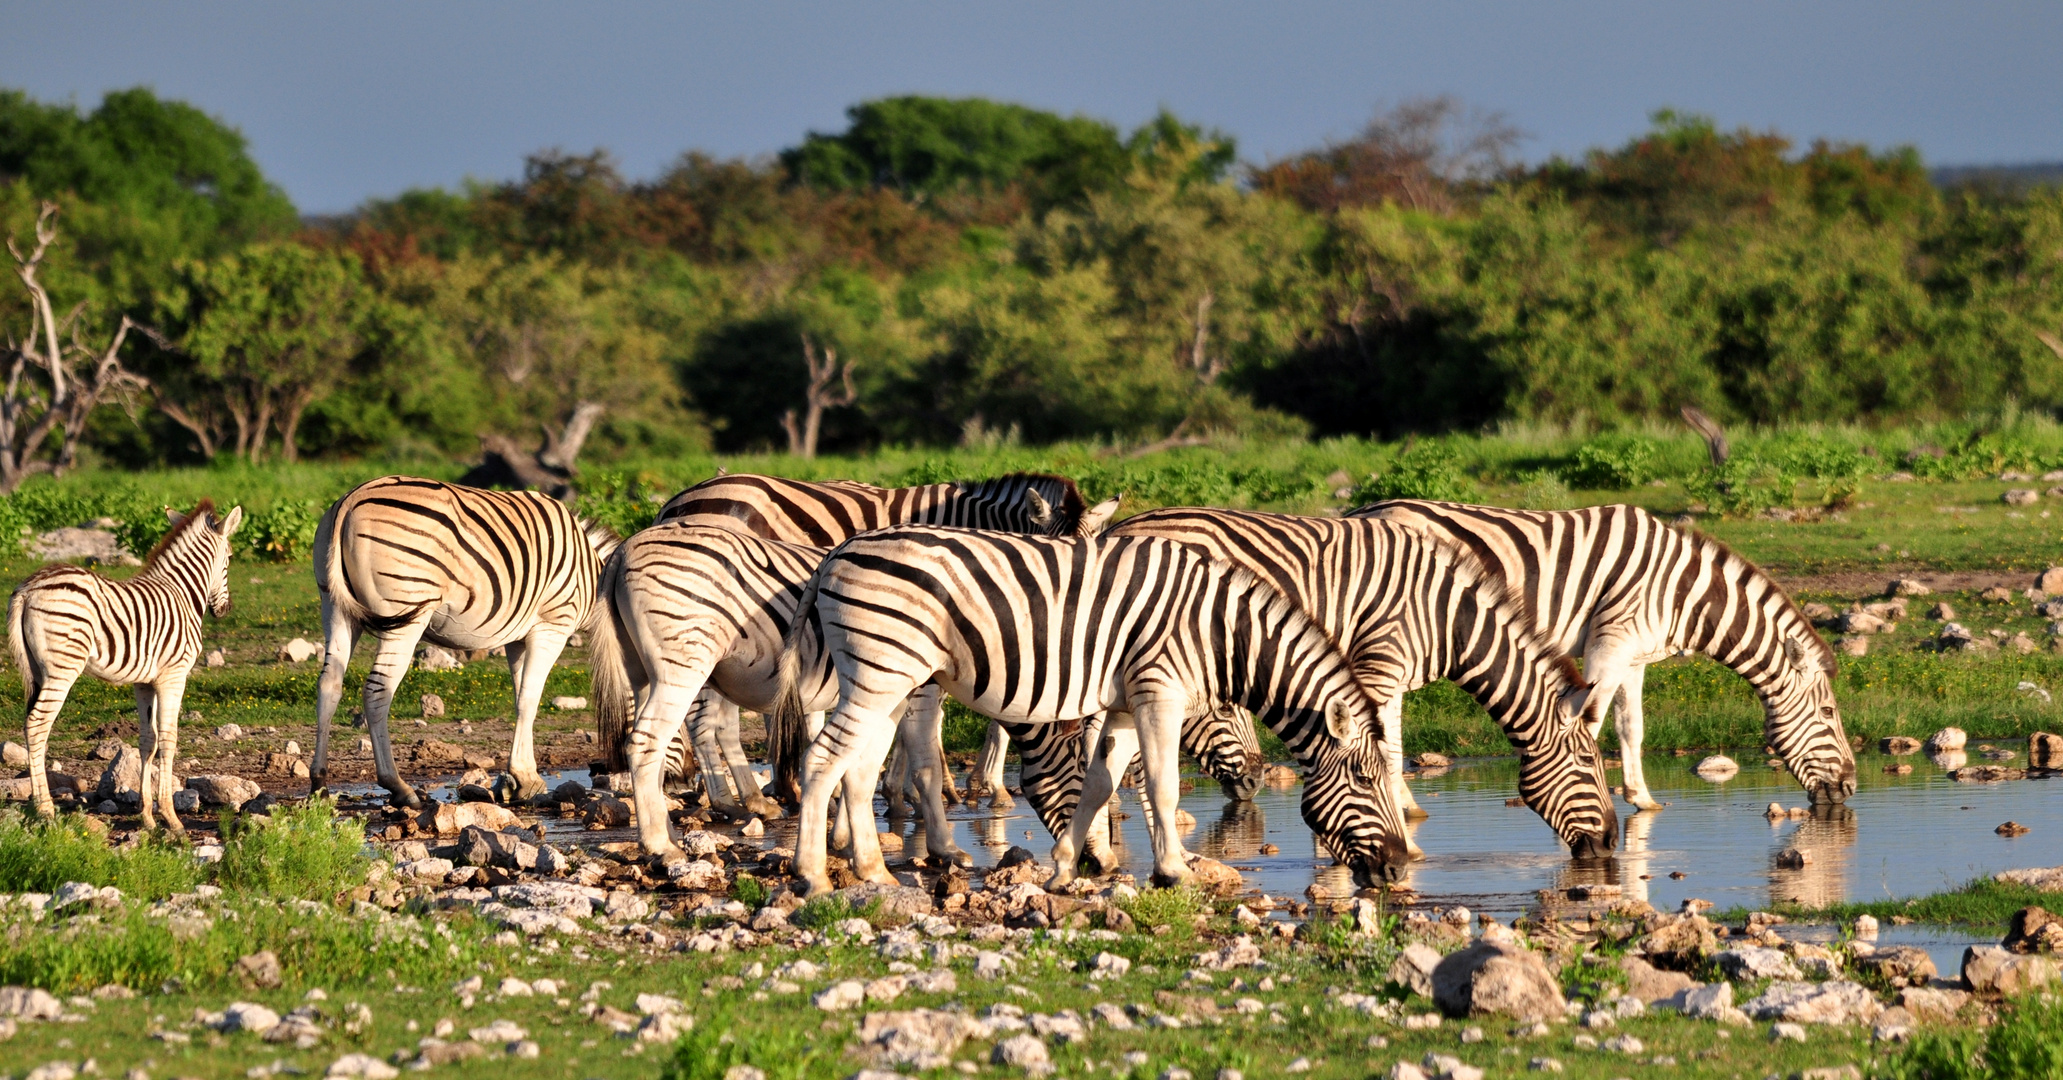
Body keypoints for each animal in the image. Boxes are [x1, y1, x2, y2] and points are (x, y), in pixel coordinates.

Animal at [8, 502, 243, 832]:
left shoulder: (144, 682)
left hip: (37, 670)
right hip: (62, 669)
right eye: (230, 557)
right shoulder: (174, 676)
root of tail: (27, 588)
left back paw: (35, 808)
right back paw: (45, 810)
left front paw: (147, 817)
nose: (225, 610)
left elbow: (148, 741)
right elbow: (168, 739)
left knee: (31, 724)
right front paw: (171, 817)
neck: (182, 593)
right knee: (37, 724)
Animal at [303, 476, 610, 803]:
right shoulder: (552, 625)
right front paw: (525, 778)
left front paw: (523, 779)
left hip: (334, 606)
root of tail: (350, 500)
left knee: (329, 685)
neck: (594, 579)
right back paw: (398, 786)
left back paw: (319, 782)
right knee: (377, 691)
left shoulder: (519, 637)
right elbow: (530, 699)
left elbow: (521, 698)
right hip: (407, 611)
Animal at [775, 527, 1419, 894]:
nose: (1396, 870)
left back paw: (873, 871)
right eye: (1365, 781)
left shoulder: (1128, 705)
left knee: (858, 770)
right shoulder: (1160, 691)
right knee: (823, 760)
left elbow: (1099, 783)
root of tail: (839, 551)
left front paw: (1066, 867)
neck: (1218, 633)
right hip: (879, 670)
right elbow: (1161, 787)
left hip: (888, 678)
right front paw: (1175, 871)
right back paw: (813, 875)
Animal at [1105, 509, 1617, 861]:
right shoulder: (1378, 664)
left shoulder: (1388, 675)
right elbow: (1385, 756)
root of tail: (1121, 526)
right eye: (1588, 762)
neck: (1444, 616)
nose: (1613, 842)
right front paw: (1394, 845)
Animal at [1353, 502, 1856, 816]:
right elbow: (1590, 725)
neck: (1681, 592)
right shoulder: (1608, 645)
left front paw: (1643, 799)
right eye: (1829, 713)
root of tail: (1362, 512)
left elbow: (1631, 727)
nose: (1851, 787)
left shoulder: (1634, 655)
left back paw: (1407, 806)